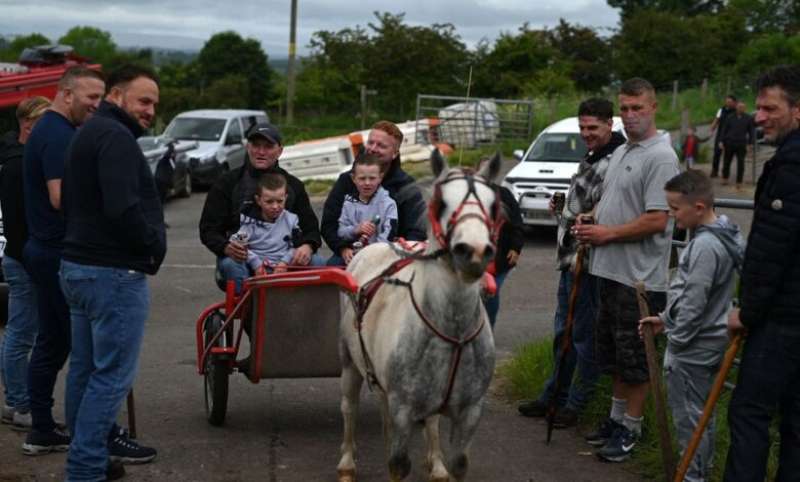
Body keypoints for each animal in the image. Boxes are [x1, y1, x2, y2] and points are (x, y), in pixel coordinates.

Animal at [336, 149, 500, 480]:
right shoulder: (403, 407)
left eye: (493, 205)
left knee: (428, 421)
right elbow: (398, 463)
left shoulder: (470, 411)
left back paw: (435, 462)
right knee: (350, 407)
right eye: (441, 203)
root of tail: (371, 248)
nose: (474, 252)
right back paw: (347, 463)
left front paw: (440, 465)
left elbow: (459, 462)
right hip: (349, 362)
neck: (452, 330)